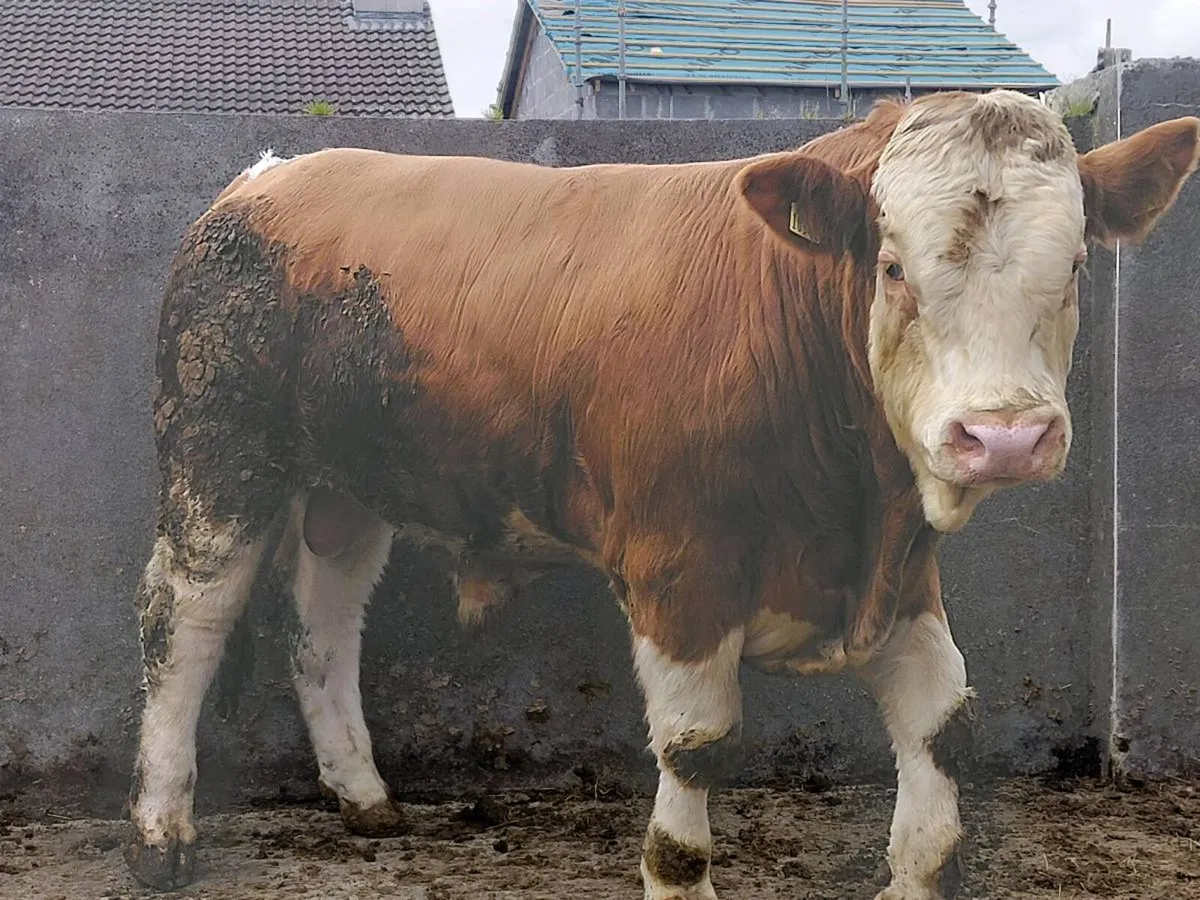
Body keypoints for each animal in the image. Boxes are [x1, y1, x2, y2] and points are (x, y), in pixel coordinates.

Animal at [122, 89, 1200, 899]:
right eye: (893, 268)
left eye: (1075, 268)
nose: (1005, 436)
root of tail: (271, 174)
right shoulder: (681, 570)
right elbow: (693, 763)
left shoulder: (899, 574)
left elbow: (941, 731)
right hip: (218, 452)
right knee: (184, 626)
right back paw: (160, 833)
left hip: (352, 485)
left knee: (324, 627)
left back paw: (364, 796)